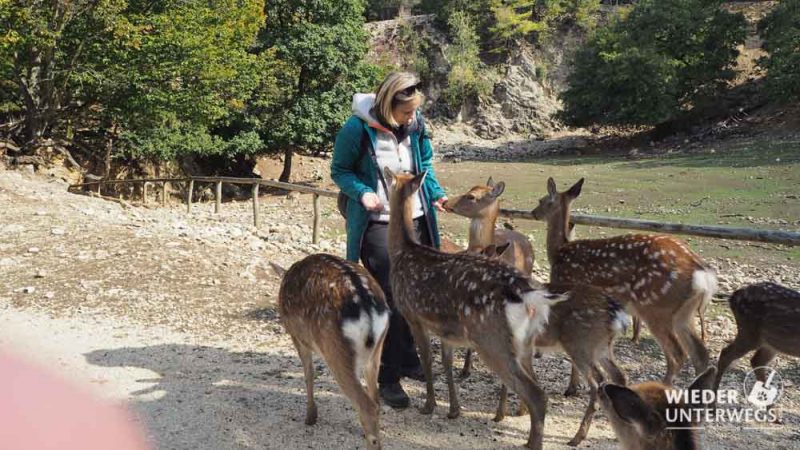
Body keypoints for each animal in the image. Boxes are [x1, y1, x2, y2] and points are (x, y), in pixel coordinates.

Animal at [276, 255, 390, 448]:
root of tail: (367, 307)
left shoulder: (297, 337)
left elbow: (309, 373)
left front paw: (310, 417)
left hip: (335, 350)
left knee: (367, 405)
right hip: (377, 349)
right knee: (375, 399)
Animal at [494, 284, 632, 446]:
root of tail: (617, 316)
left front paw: (500, 415)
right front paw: (520, 411)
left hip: (580, 344)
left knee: (598, 381)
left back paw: (577, 438)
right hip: (603, 346)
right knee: (619, 375)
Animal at [532, 178, 720, 384]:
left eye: (542, 200)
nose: (534, 213)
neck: (559, 251)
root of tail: (700, 270)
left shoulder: (566, 287)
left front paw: (572, 387)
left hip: (657, 307)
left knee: (677, 354)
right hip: (684, 313)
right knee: (700, 354)